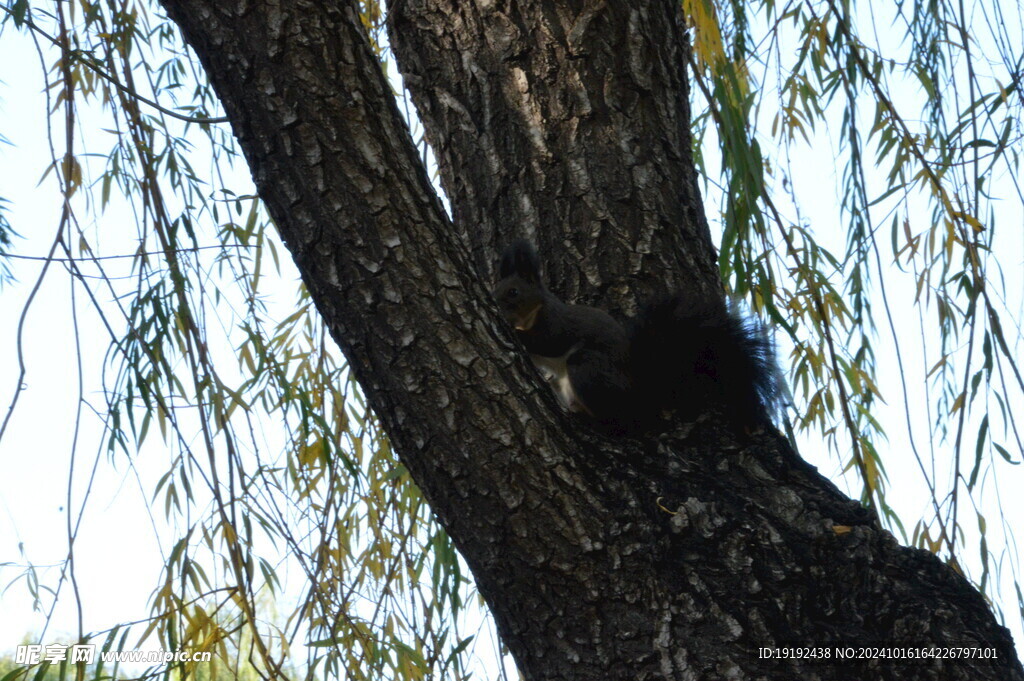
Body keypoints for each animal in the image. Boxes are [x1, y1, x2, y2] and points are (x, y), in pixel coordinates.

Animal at [493, 237, 782, 430]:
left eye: (513, 292)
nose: (496, 304)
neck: (532, 313)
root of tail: (640, 391)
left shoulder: (556, 324)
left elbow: (548, 342)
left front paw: (518, 335)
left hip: (588, 368)